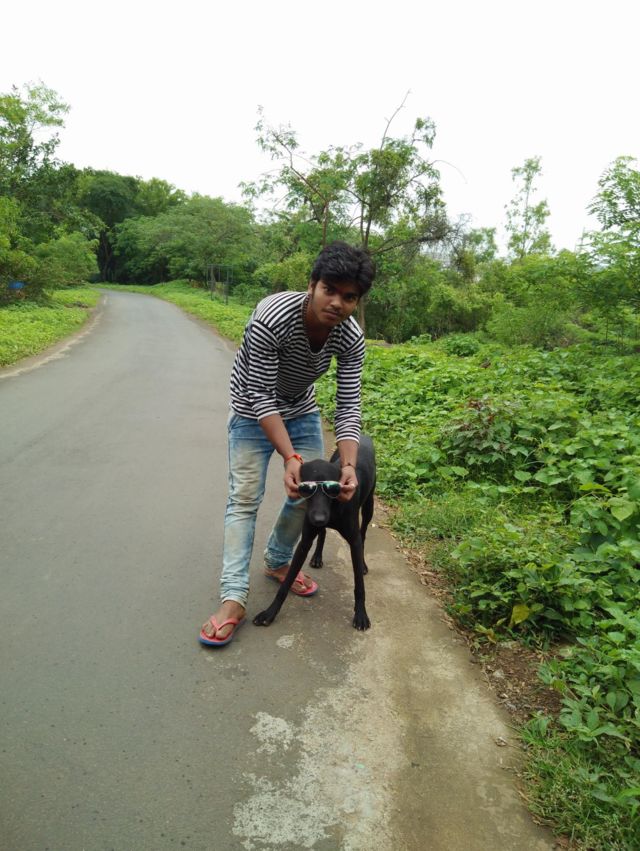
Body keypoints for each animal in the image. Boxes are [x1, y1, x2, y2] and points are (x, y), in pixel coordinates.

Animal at [253, 435, 376, 631]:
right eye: (306, 489)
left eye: (332, 489)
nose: (318, 518)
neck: (333, 507)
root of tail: (364, 436)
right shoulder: (304, 542)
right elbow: (286, 582)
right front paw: (270, 612)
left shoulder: (354, 540)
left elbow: (359, 585)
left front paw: (361, 614)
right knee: (323, 533)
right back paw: (317, 556)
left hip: (369, 507)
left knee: (363, 533)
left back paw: (363, 564)